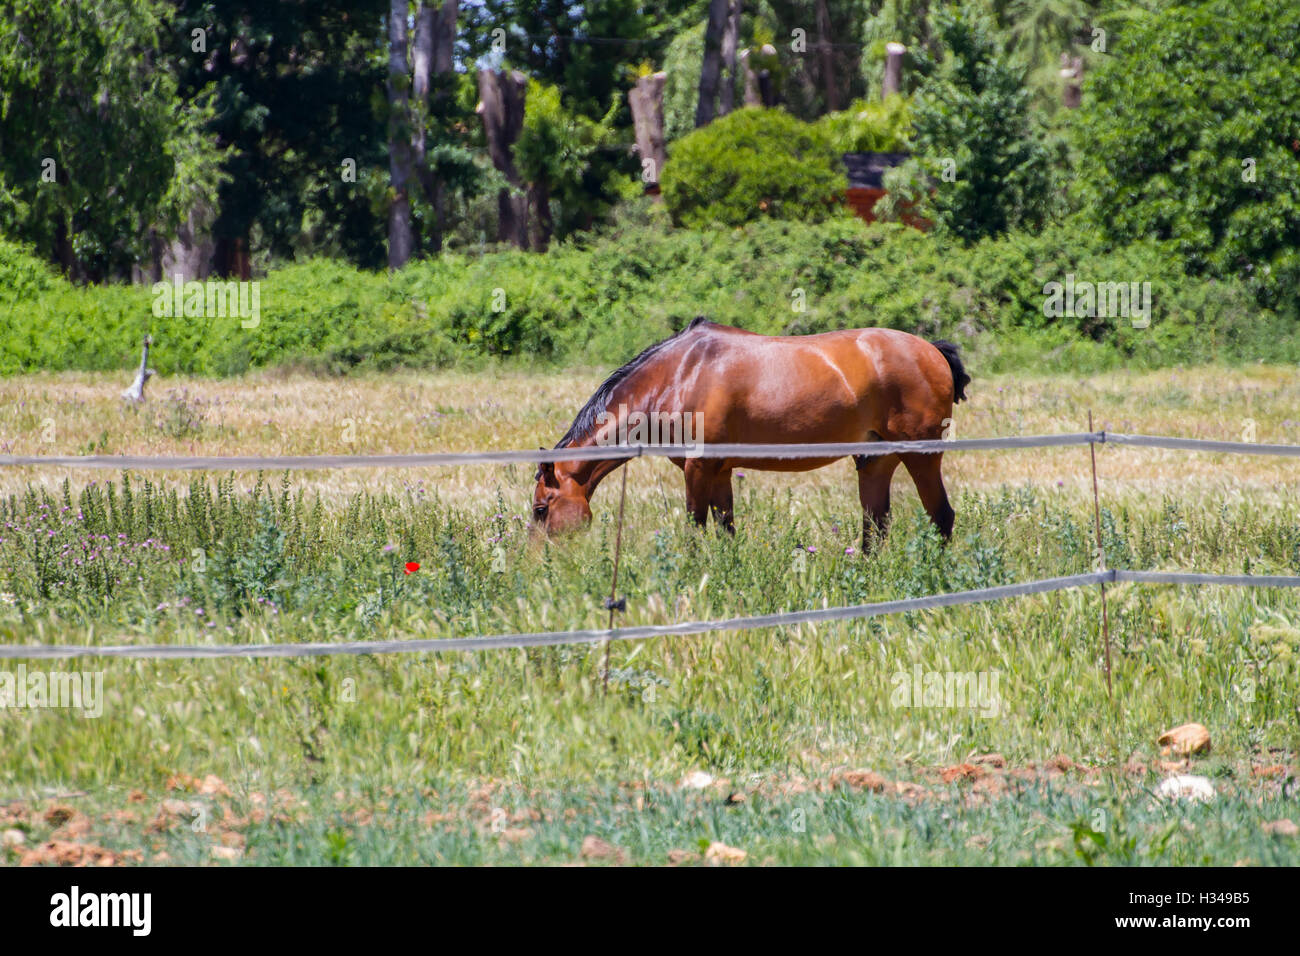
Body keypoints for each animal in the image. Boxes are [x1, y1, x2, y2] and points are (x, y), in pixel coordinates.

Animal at [531, 317, 970, 550]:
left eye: (541, 509)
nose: (542, 562)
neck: (679, 373)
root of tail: (932, 350)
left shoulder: (697, 470)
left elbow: (695, 528)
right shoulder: (720, 472)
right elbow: (726, 529)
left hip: (921, 457)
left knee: (941, 517)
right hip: (876, 462)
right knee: (875, 527)